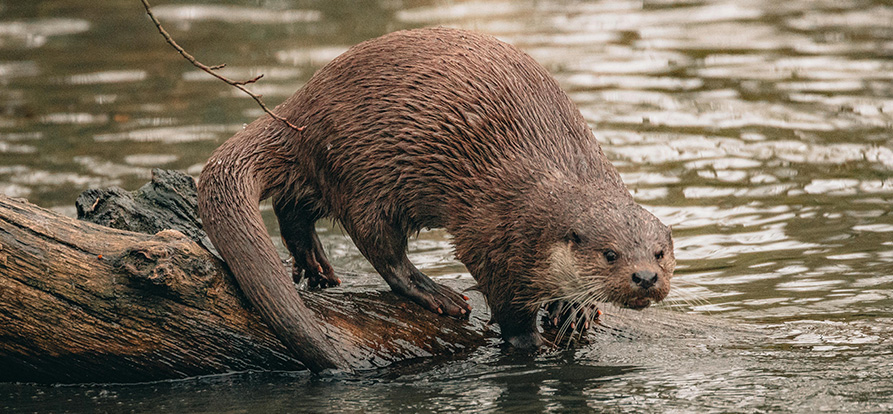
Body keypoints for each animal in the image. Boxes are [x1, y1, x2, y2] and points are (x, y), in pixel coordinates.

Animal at [195, 27, 668, 370]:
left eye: (660, 254)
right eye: (610, 254)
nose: (645, 277)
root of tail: (297, 111)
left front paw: (574, 310)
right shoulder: (490, 233)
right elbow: (504, 301)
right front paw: (529, 342)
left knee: (294, 206)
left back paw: (316, 266)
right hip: (365, 172)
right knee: (380, 248)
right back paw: (436, 295)